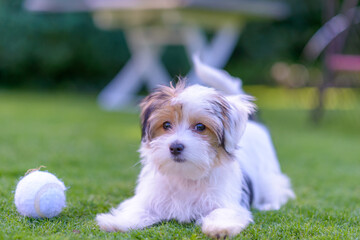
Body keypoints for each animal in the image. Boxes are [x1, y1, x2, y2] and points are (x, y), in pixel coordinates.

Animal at [96, 57, 296, 237]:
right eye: (166, 125)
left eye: (200, 127)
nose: (175, 147)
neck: (186, 176)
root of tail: (255, 123)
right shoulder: (150, 198)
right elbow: (138, 210)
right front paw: (116, 222)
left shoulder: (227, 202)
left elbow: (222, 212)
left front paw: (219, 227)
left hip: (267, 175)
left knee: (277, 187)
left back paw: (269, 204)